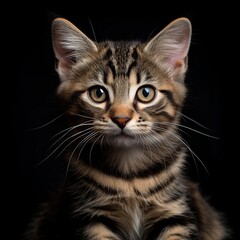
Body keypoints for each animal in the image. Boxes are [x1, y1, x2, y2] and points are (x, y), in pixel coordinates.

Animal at [25, 17, 228, 240]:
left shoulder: (175, 213)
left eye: (146, 93)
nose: (121, 119)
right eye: (98, 93)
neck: (130, 177)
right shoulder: (92, 217)